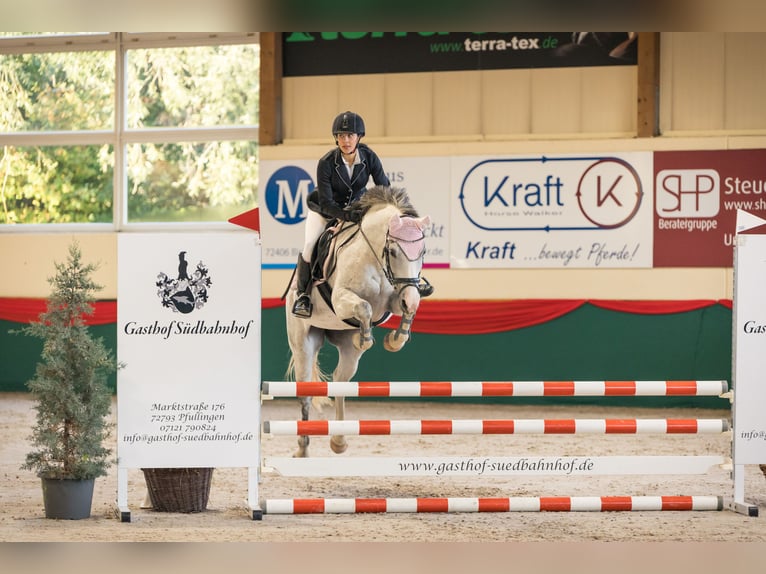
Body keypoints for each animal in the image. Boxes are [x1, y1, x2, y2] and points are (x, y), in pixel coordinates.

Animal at [288, 187, 432, 456]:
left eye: (423, 252)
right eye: (393, 251)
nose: (409, 296)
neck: (373, 256)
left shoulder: (394, 300)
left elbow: (407, 308)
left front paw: (394, 340)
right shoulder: (341, 298)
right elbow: (364, 307)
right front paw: (365, 339)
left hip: (345, 350)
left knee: (340, 382)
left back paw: (339, 441)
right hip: (303, 342)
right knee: (305, 392)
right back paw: (303, 448)